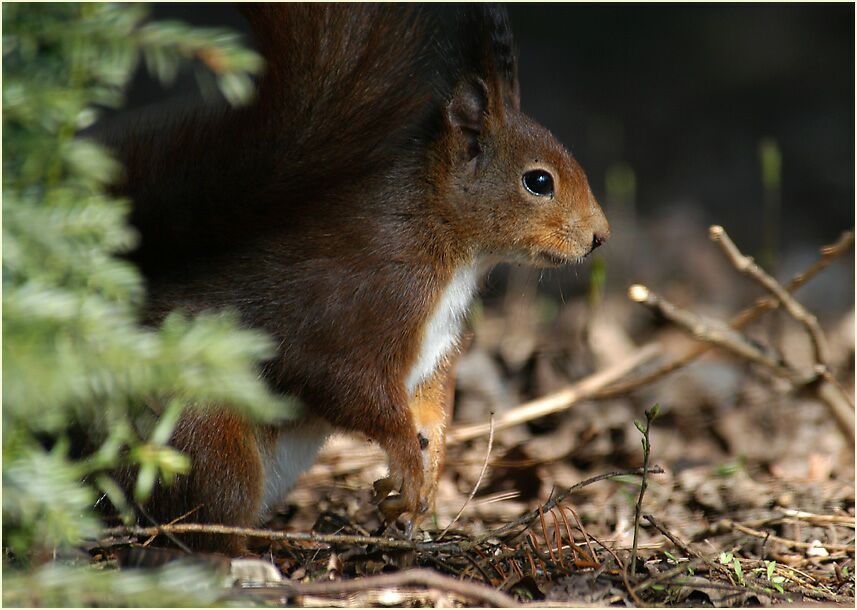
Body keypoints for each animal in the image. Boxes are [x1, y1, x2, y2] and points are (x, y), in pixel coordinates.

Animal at [100, 4, 609, 554]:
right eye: (539, 181)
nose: (600, 237)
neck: (448, 244)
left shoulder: (435, 351)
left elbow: (430, 407)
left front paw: (425, 478)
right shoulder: (358, 301)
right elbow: (345, 385)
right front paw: (408, 463)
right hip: (202, 437)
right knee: (208, 514)